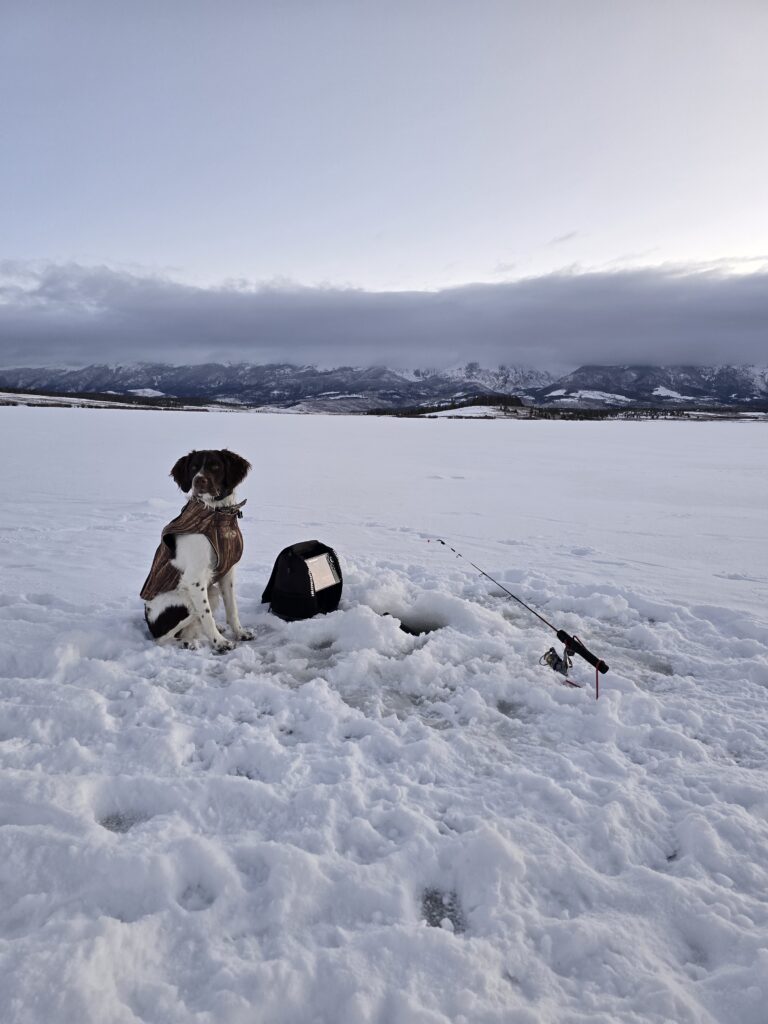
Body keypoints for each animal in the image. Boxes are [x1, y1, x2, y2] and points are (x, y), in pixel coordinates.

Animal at [140, 446, 253, 651]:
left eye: (215, 466)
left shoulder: (227, 572)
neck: (216, 515)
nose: (198, 480)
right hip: (185, 600)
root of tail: (150, 624)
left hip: (211, 591)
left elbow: (232, 608)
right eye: (193, 468)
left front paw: (240, 633)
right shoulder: (195, 579)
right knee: (162, 639)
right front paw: (220, 643)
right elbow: (206, 615)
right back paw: (188, 642)